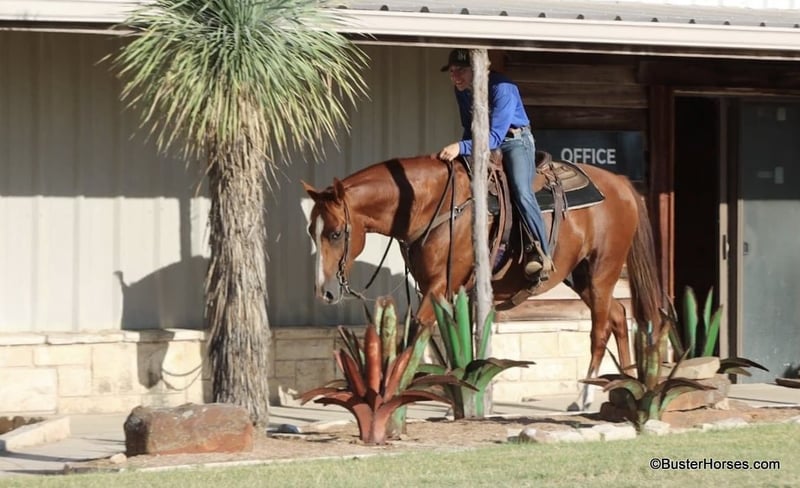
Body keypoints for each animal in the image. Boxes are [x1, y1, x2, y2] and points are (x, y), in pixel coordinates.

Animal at [302, 153, 663, 408]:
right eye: (311, 230)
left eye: (336, 233)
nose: (324, 292)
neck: (432, 203)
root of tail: (620, 183)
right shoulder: (438, 290)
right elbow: (436, 339)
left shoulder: (440, 285)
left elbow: (417, 332)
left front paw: (401, 387)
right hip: (582, 277)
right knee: (618, 315)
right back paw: (624, 388)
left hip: (603, 269)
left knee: (600, 329)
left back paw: (585, 398)